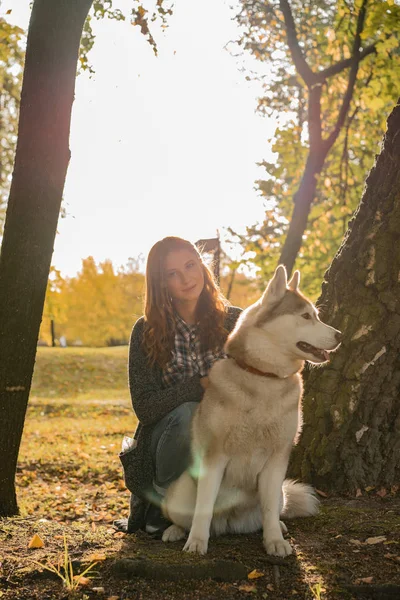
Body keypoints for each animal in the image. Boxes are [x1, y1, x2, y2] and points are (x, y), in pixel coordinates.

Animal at [161, 268, 342, 556]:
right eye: (305, 316)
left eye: (316, 315)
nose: (340, 335)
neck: (264, 378)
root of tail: (228, 522)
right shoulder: (214, 456)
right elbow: (203, 508)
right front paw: (197, 541)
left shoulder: (277, 459)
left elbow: (268, 511)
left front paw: (274, 541)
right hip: (179, 491)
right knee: (186, 515)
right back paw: (176, 531)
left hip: (281, 494)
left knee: (271, 512)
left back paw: (279, 526)